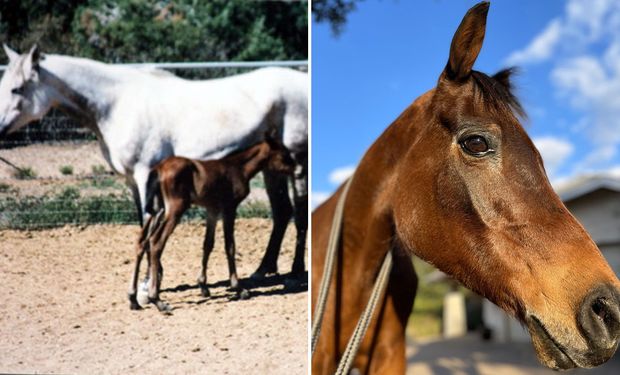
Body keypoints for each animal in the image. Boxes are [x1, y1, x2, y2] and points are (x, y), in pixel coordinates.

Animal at [0, 44, 308, 282]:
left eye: (17, 89)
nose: (0, 129)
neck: (117, 104)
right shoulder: (132, 181)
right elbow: (144, 225)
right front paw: (151, 280)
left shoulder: (144, 174)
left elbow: (149, 224)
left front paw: (148, 285)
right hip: (273, 168)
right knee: (282, 212)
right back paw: (262, 270)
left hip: (298, 164)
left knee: (300, 212)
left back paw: (294, 272)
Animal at [127, 137, 294, 312]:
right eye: (284, 153)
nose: (296, 168)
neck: (238, 168)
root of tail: (159, 168)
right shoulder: (229, 208)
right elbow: (230, 246)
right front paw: (239, 289)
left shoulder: (212, 210)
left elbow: (208, 244)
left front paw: (203, 286)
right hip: (174, 210)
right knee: (156, 242)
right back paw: (157, 300)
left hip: (157, 210)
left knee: (142, 242)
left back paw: (133, 299)